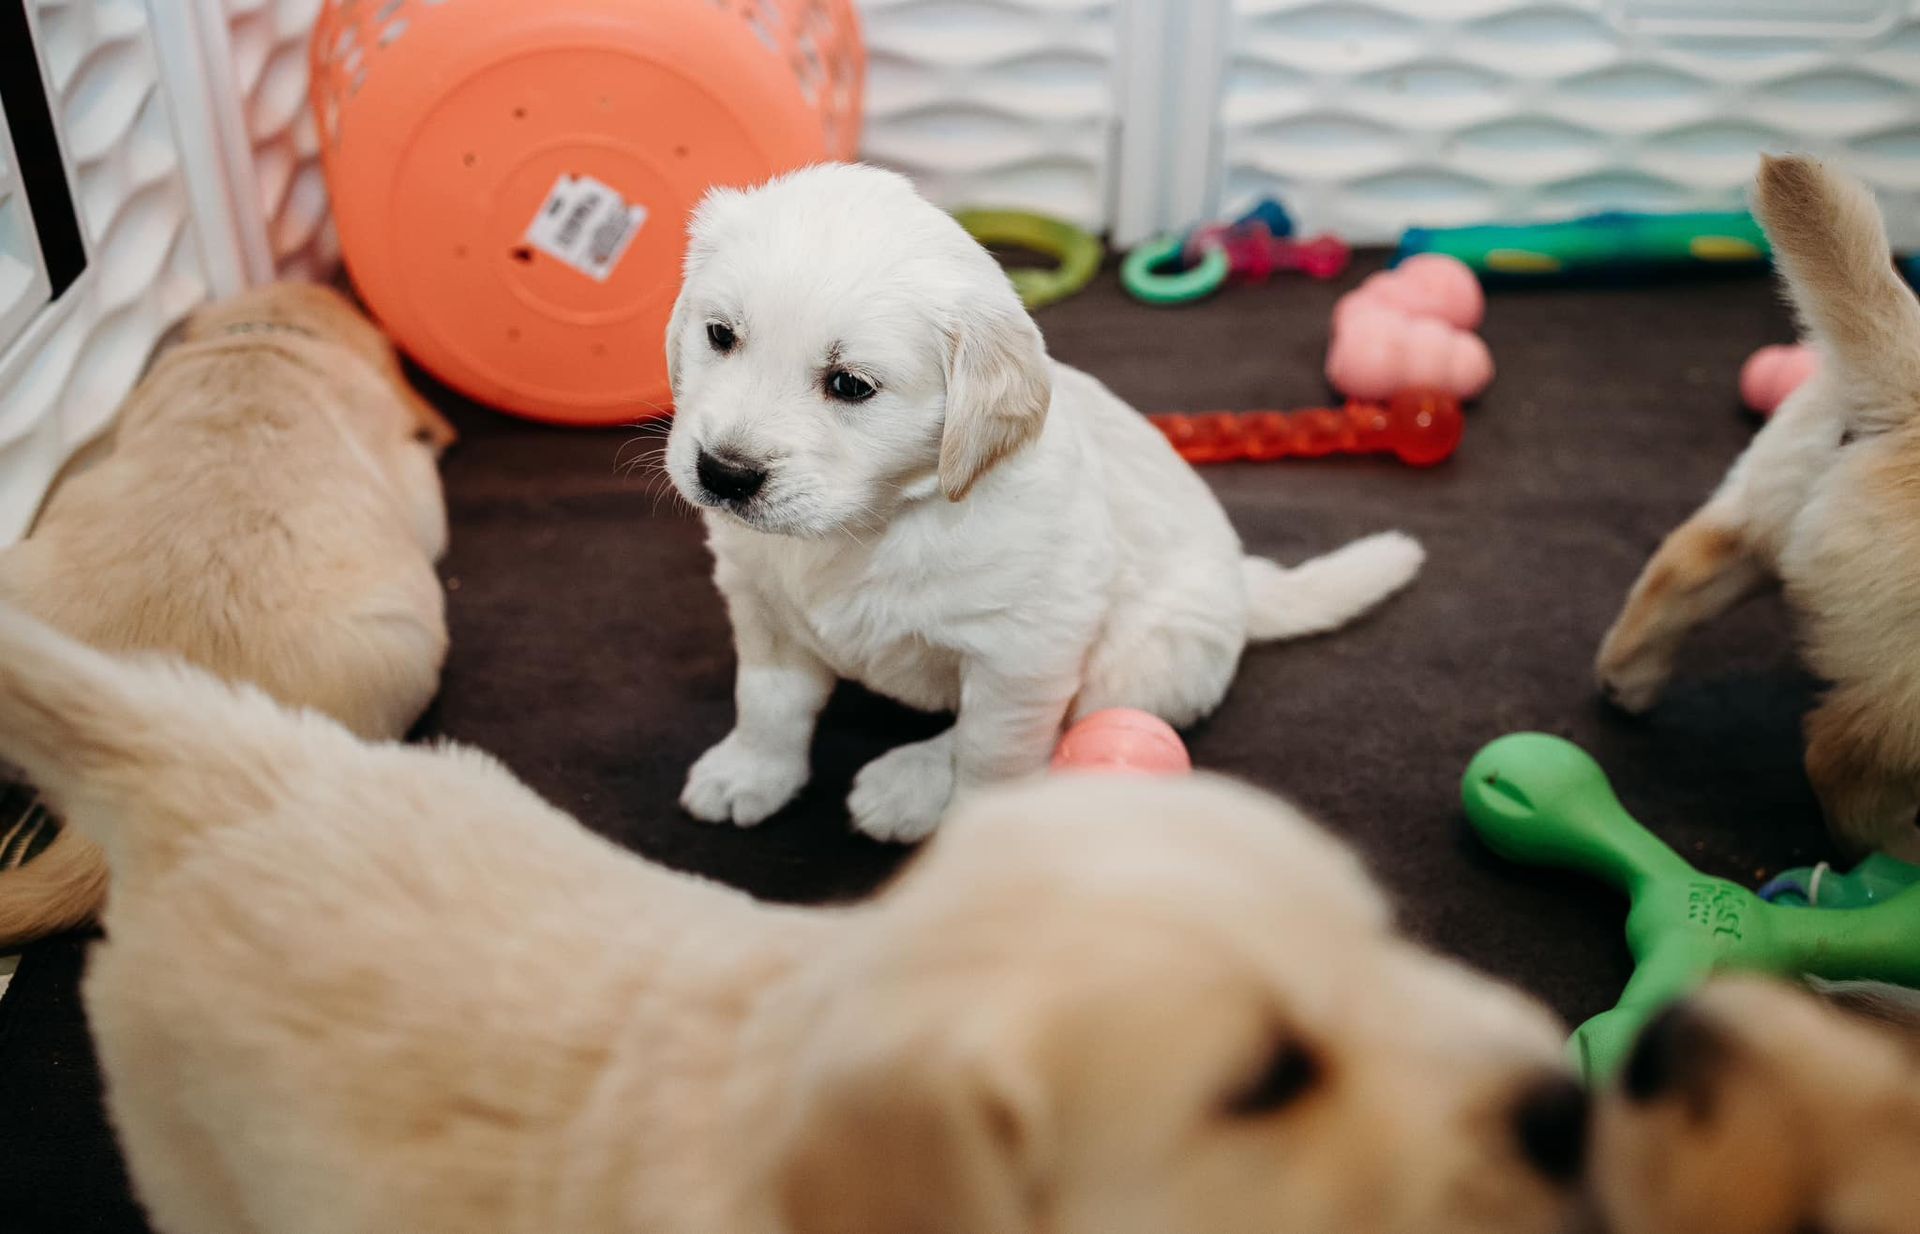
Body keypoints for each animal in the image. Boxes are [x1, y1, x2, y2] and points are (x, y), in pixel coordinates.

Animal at [668, 162, 1420, 840]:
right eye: (720, 335)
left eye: (851, 385)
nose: (724, 473)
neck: (876, 523)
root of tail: (1243, 581)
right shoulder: (759, 602)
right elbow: (767, 699)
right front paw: (751, 772)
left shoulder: (1024, 649)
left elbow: (992, 752)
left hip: (1145, 658)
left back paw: (908, 785)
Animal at [1597, 154, 1920, 859]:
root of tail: (1898, 390)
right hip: (1908, 678)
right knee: (1839, 763)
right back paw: (1897, 851)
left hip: (1765, 506)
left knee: (1682, 569)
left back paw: (1626, 683)